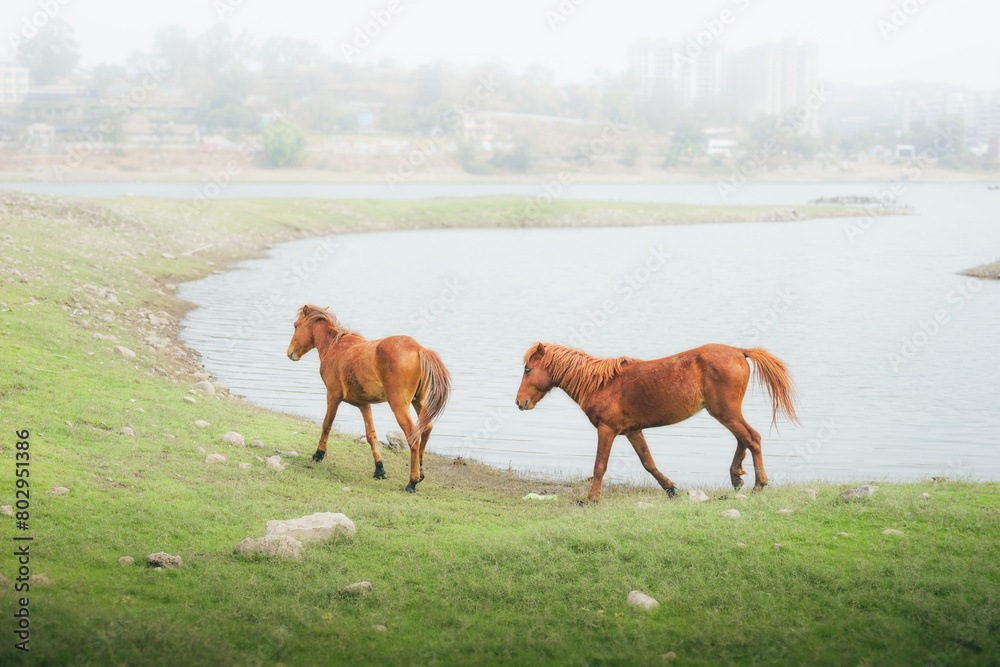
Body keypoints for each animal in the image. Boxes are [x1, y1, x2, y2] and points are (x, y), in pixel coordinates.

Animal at [286, 305, 451, 493]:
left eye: (295, 326)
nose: (290, 353)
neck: (335, 346)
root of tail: (418, 349)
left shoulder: (333, 396)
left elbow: (327, 425)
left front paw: (318, 454)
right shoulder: (364, 405)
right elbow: (371, 435)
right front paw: (379, 469)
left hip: (399, 406)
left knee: (413, 436)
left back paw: (412, 481)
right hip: (419, 401)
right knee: (427, 428)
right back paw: (421, 470)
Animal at [515, 342, 799, 503]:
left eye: (528, 370)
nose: (519, 402)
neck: (600, 384)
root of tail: (740, 352)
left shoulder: (607, 430)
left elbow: (599, 466)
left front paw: (590, 499)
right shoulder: (633, 432)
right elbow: (648, 463)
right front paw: (671, 489)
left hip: (725, 412)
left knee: (752, 438)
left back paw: (759, 483)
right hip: (726, 412)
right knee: (744, 438)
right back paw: (736, 477)